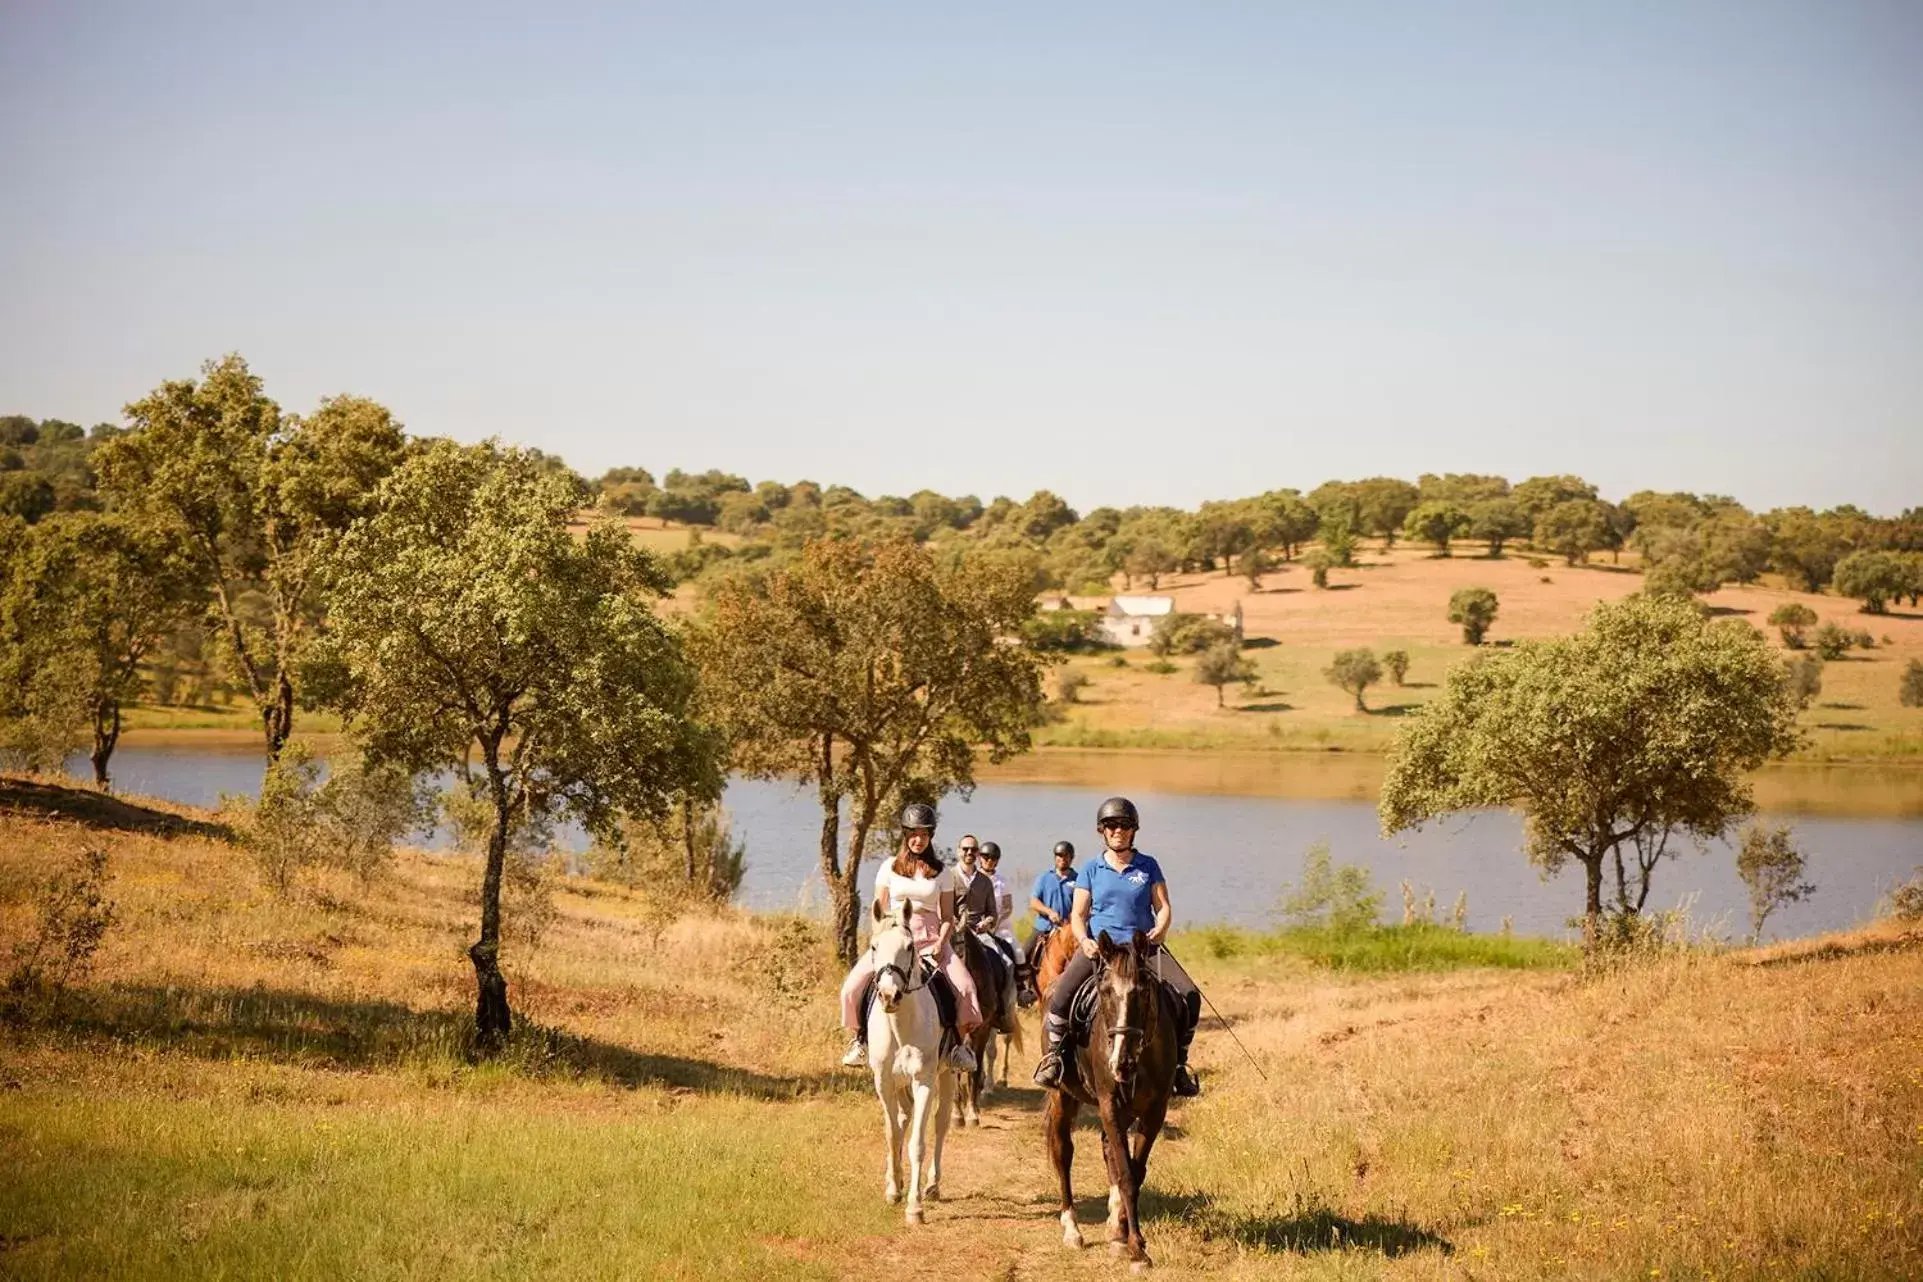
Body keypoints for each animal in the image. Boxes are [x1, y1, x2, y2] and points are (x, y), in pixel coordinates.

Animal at [869, 903, 957, 1222]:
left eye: (909, 947)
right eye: (874, 946)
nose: (889, 995)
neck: (900, 1025)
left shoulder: (924, 1081)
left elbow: (917, 1142)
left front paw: (914, 1207)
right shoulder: (883, 1081)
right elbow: (892, 1133)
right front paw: (894, 1189)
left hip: (948, 1074)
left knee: (941, 1123)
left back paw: (932, 1185)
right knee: (902, 1118)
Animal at [1046, 926, 1176, 1268]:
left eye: (1142, 992)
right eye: (1104, 992)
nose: (1121, 1063)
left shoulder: (1154, 1111)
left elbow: (1134, 1171)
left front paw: (1123, 1236)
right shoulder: (1109, 1105)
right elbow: (1127, 1175)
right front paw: (1137, 1249)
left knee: (1108, 1151)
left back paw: (1114, 1225)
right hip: (1063, 1097)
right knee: (1063, 1152)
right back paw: (1072, 1230)